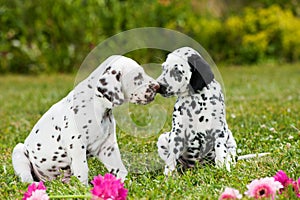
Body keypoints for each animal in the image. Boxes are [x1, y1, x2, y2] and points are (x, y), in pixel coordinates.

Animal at [12, 54, 161, 184]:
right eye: (137, 77)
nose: (158, 86)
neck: (97, 106)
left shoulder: (107, 146)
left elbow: (120, 168)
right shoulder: (77, 145)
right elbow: (82, 170)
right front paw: (83, 189)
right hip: (19, 151)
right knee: (27, 179)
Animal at [157, 47, 237, 175]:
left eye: (177, 71)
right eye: (164, 68)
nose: (159, 86)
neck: (196, 101)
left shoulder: (219, 132)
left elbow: (221, 153)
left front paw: (221, 169)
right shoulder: (177, 134)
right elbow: (171, 157)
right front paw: (168, 174)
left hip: (230, 140)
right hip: (163, 138)